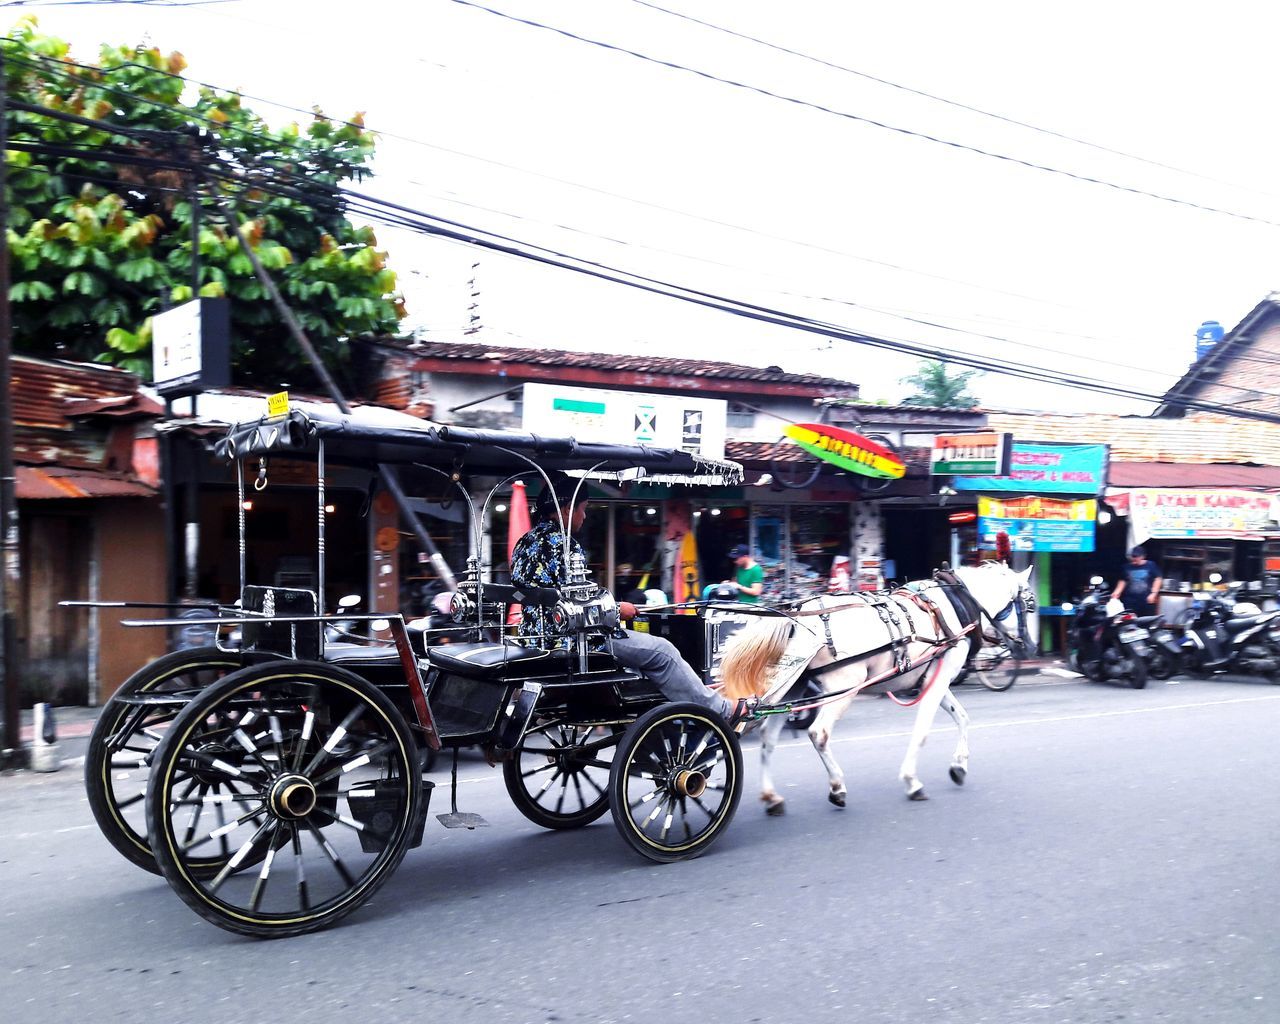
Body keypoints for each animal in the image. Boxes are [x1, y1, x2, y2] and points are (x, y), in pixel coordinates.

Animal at [721, 563, 1039, 814]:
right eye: (1030, 605)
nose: (1032, 647)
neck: (955, 603)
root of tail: (799, 617)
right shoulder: (940, 677)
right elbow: (923, 731)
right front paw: (912, 781)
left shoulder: (934, 677)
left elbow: (961, 717)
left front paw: (958, 767)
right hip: (844, 686)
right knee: (818, 733)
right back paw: (837, 787)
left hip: (793, 686)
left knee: (768, 736)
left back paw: (771, 797)